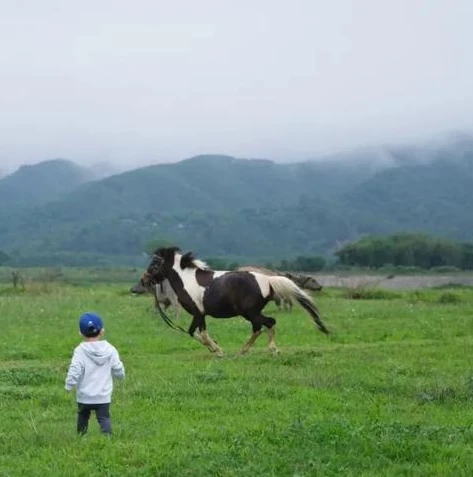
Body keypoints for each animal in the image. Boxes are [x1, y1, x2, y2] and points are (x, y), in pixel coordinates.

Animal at [142, 245, 330, 354]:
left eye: (154, 264)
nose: (144, 280)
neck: (187, 280)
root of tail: (268, 280)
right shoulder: (202, 315)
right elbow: (201, 333)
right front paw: (215, 347)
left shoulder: (197, 313)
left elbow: (193, 332)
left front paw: (217, 349)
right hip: (251, 312)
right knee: (263, 325)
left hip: (250, 312)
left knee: (266, 324)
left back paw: (261, 349)